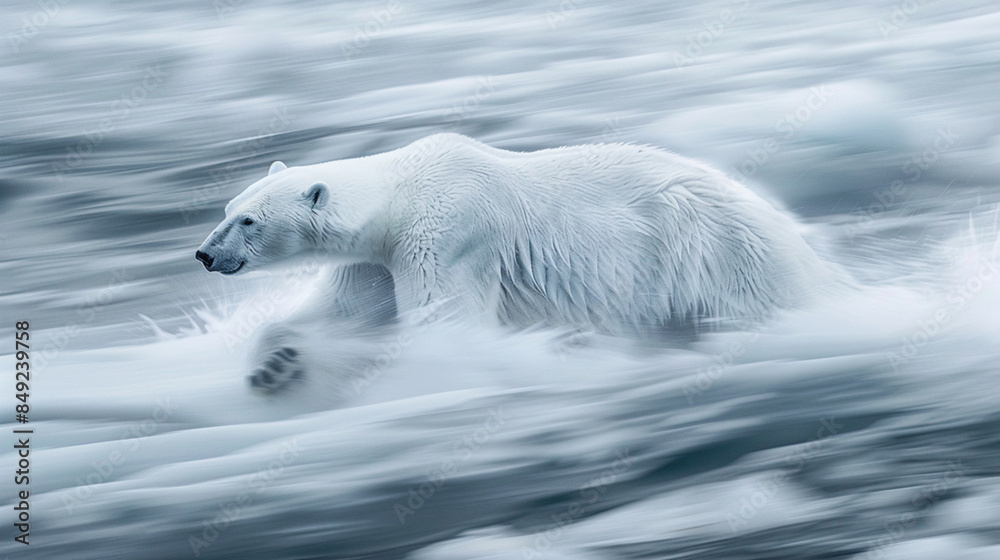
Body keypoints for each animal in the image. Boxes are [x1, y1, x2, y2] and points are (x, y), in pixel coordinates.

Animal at [196, 133, 839, 392]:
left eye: (248, 221)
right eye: (226, 208)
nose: (205, 253)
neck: (404, 190)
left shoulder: (447, 235)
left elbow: (449, 328)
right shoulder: (377, 261)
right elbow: (344, 310)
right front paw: (275, 364)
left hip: (713, 251)